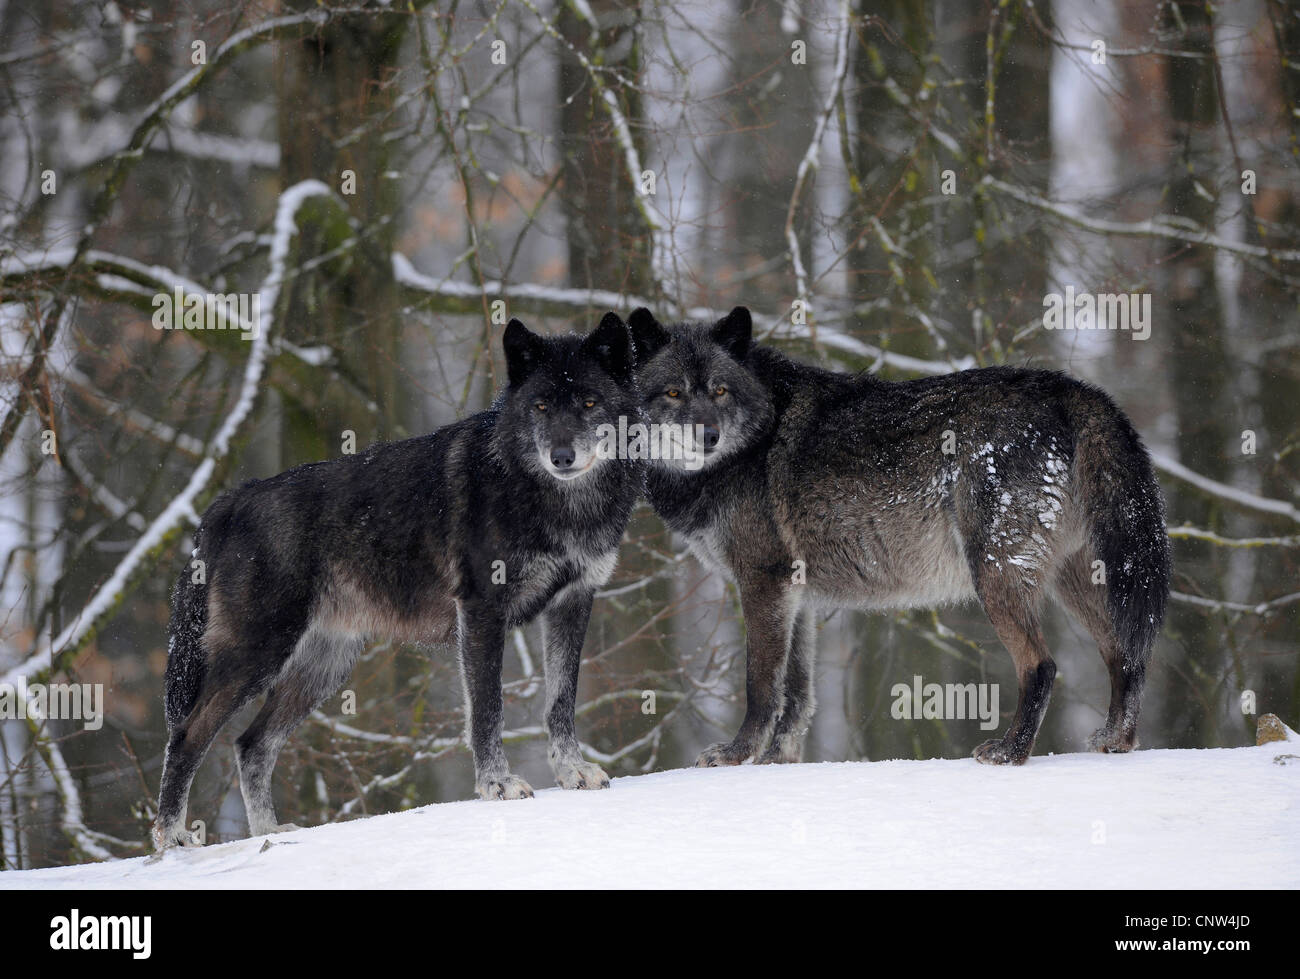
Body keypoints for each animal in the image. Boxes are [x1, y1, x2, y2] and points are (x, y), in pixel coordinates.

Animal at [154, 313, 642, 847]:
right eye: (540, 406)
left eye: (589, 402)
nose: (561, 455)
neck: (557, 502)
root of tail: (236, 497)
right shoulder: (482, 611)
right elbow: (488, 708)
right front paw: (496, 785)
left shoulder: (573, 602)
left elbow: (561, 701)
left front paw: (572, 773)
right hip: (258, 654)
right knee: (187, 736)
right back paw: (171, 840)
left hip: (322, 667)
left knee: (251, 745)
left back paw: (272, 834)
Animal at [629, 309, 1170, 769]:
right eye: (673, 394)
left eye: (720, 391)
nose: (708, 436)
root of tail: (1071, 388)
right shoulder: (795, 595)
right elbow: (796, 696)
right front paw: (776, 763)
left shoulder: (762, 581)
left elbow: (761, 685)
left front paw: (736, 755)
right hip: (1077, 580)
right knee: (1126, 655)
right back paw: (1115, 742)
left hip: (995, 573)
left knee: (1042, 664)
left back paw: (1011, 752)